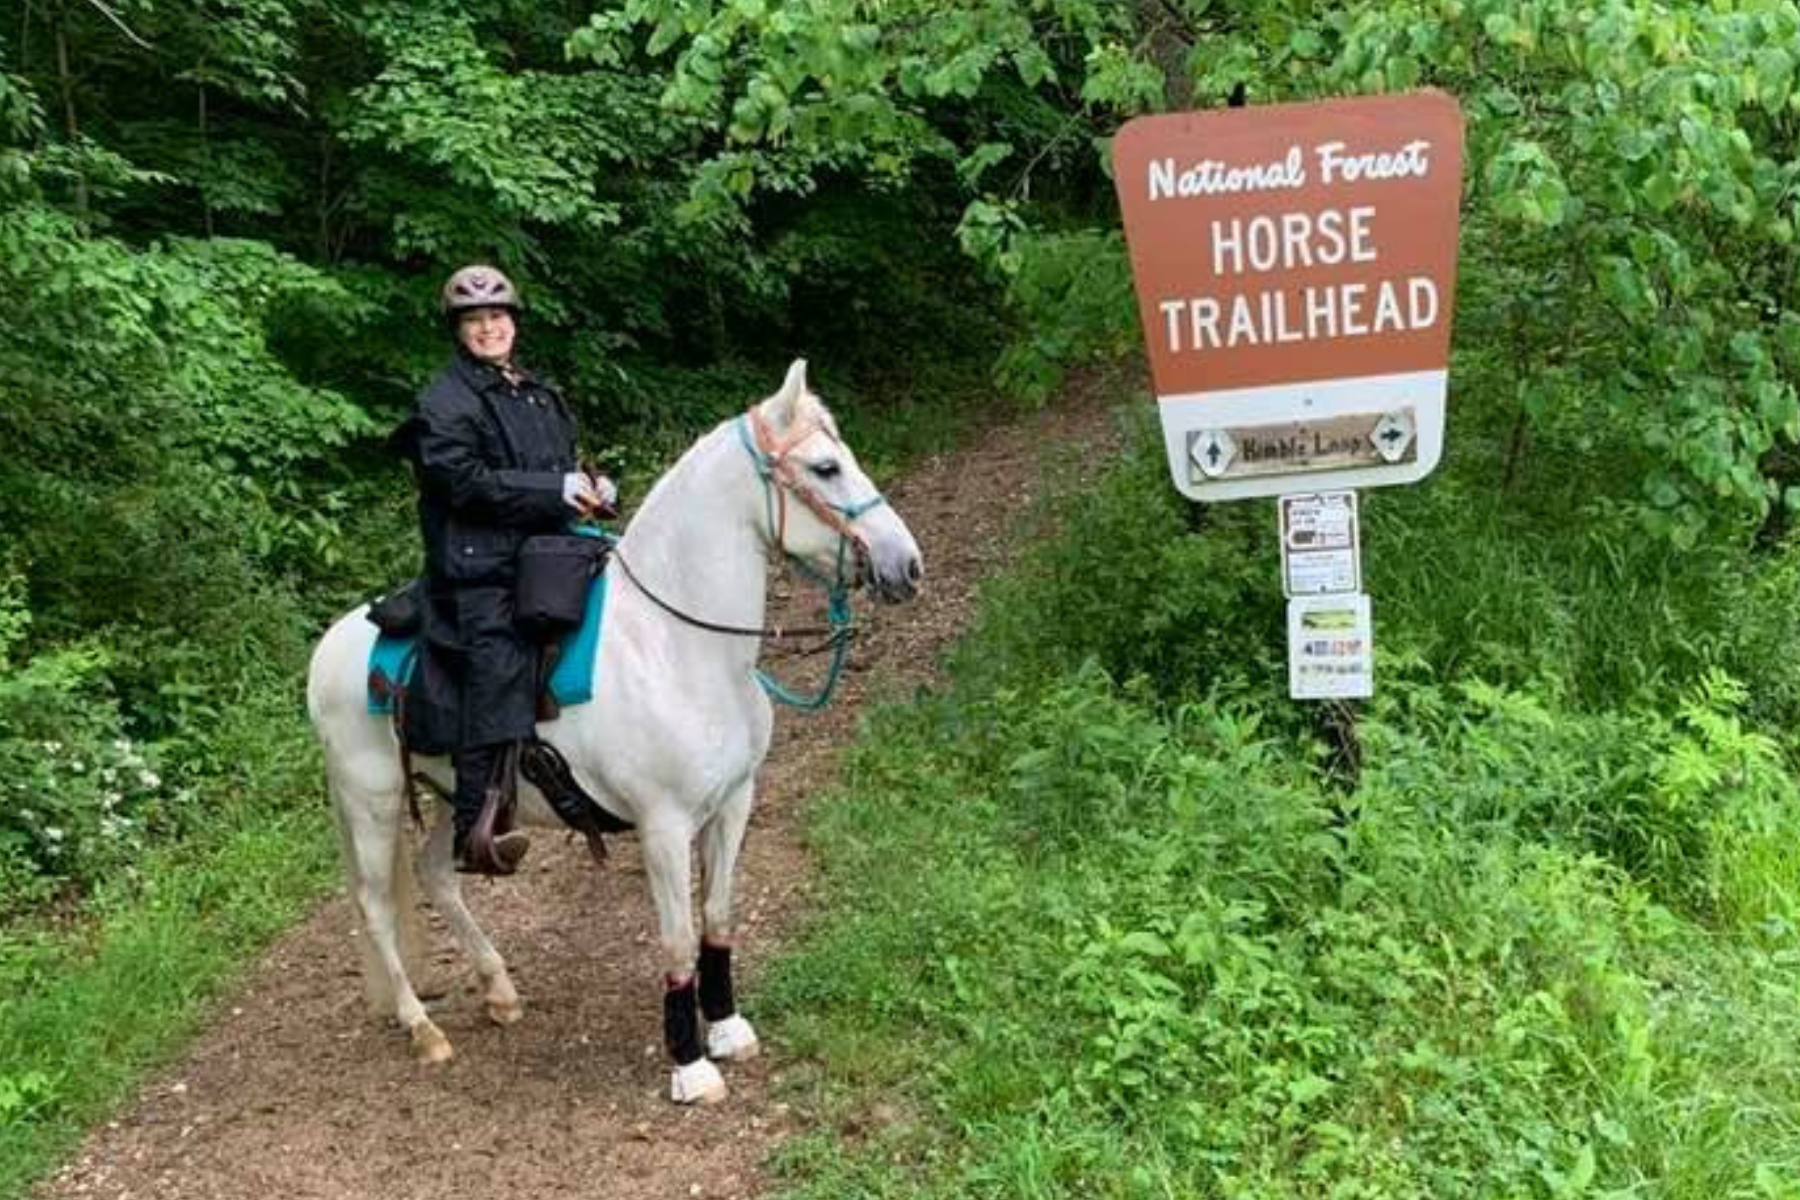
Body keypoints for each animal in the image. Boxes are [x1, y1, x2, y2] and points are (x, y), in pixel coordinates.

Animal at [305, 360, 922, 1103]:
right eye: (825, 467)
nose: (905, 564)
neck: (676, 645)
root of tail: (327, 650)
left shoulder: (734, 802)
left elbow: (718, 916)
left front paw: (727, 1029)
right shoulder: (664, 826)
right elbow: (677, 940)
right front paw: (690, 1064)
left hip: (453, 795)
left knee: (436, 874)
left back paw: (500, 989)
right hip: (370, 801)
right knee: (375, 908)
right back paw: (422, 1028)